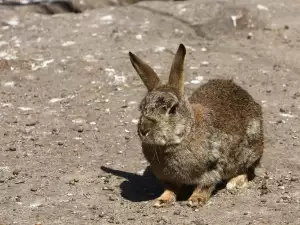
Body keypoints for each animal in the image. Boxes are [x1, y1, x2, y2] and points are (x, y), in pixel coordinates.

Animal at [127, 43, 264, 207]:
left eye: (172, 109)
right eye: (142, 108)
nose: (144, 130)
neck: (186, 133)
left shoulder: (214, 165)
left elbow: (205, 185)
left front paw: (195, 200)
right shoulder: (168, 177)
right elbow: (171, 189)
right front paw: (162, 200)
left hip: (249, 150)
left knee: (248, 170)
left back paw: (234, 183)